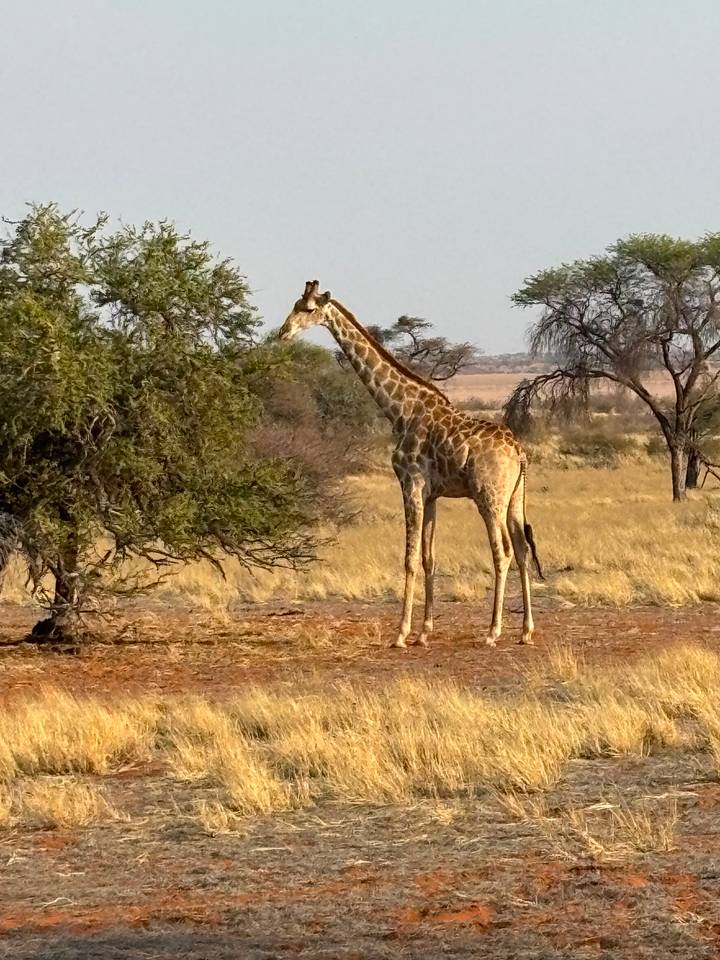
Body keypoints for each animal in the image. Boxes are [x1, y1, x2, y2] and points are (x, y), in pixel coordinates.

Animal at [278, 281, 543, 648]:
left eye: (308, 309)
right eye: (295, 304)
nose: (283, 333)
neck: (400, 410)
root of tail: (519, 451)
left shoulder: (410, 484)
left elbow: (409, 559)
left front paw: (401, 633)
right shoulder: (431, 494)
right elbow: (428, 557)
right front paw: (424, 632)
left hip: (489, 497)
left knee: (501, 551)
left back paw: (493, 631)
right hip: (514, 498)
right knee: (521, 549)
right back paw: (526, 630)